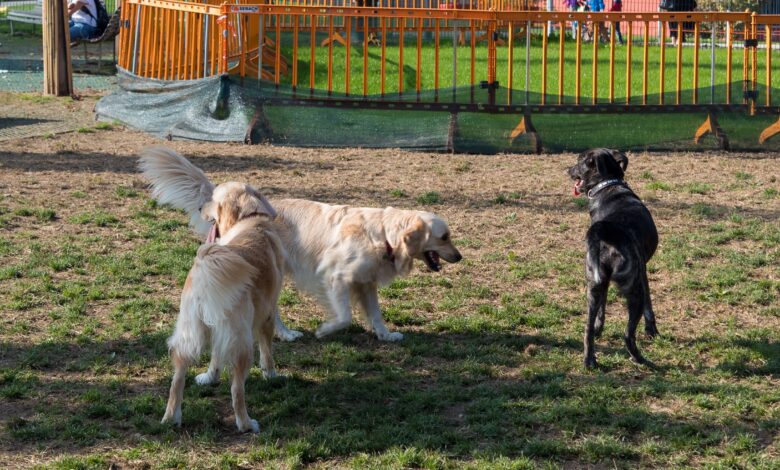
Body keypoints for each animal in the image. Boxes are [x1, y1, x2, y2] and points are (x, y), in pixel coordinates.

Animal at [568, 149, 660, 370]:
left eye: (578, 162)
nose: (567, 170)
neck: (608, 186)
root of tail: (603, 233)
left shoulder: (603, 283)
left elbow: (601, 311)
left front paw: (599, 328)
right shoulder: (642, 273)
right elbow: (649, 305)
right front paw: (652, 330)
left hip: (593, 286)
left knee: (587, 328)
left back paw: (590, 360)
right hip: (634, 292)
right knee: (628, 334)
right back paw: (640, 359)